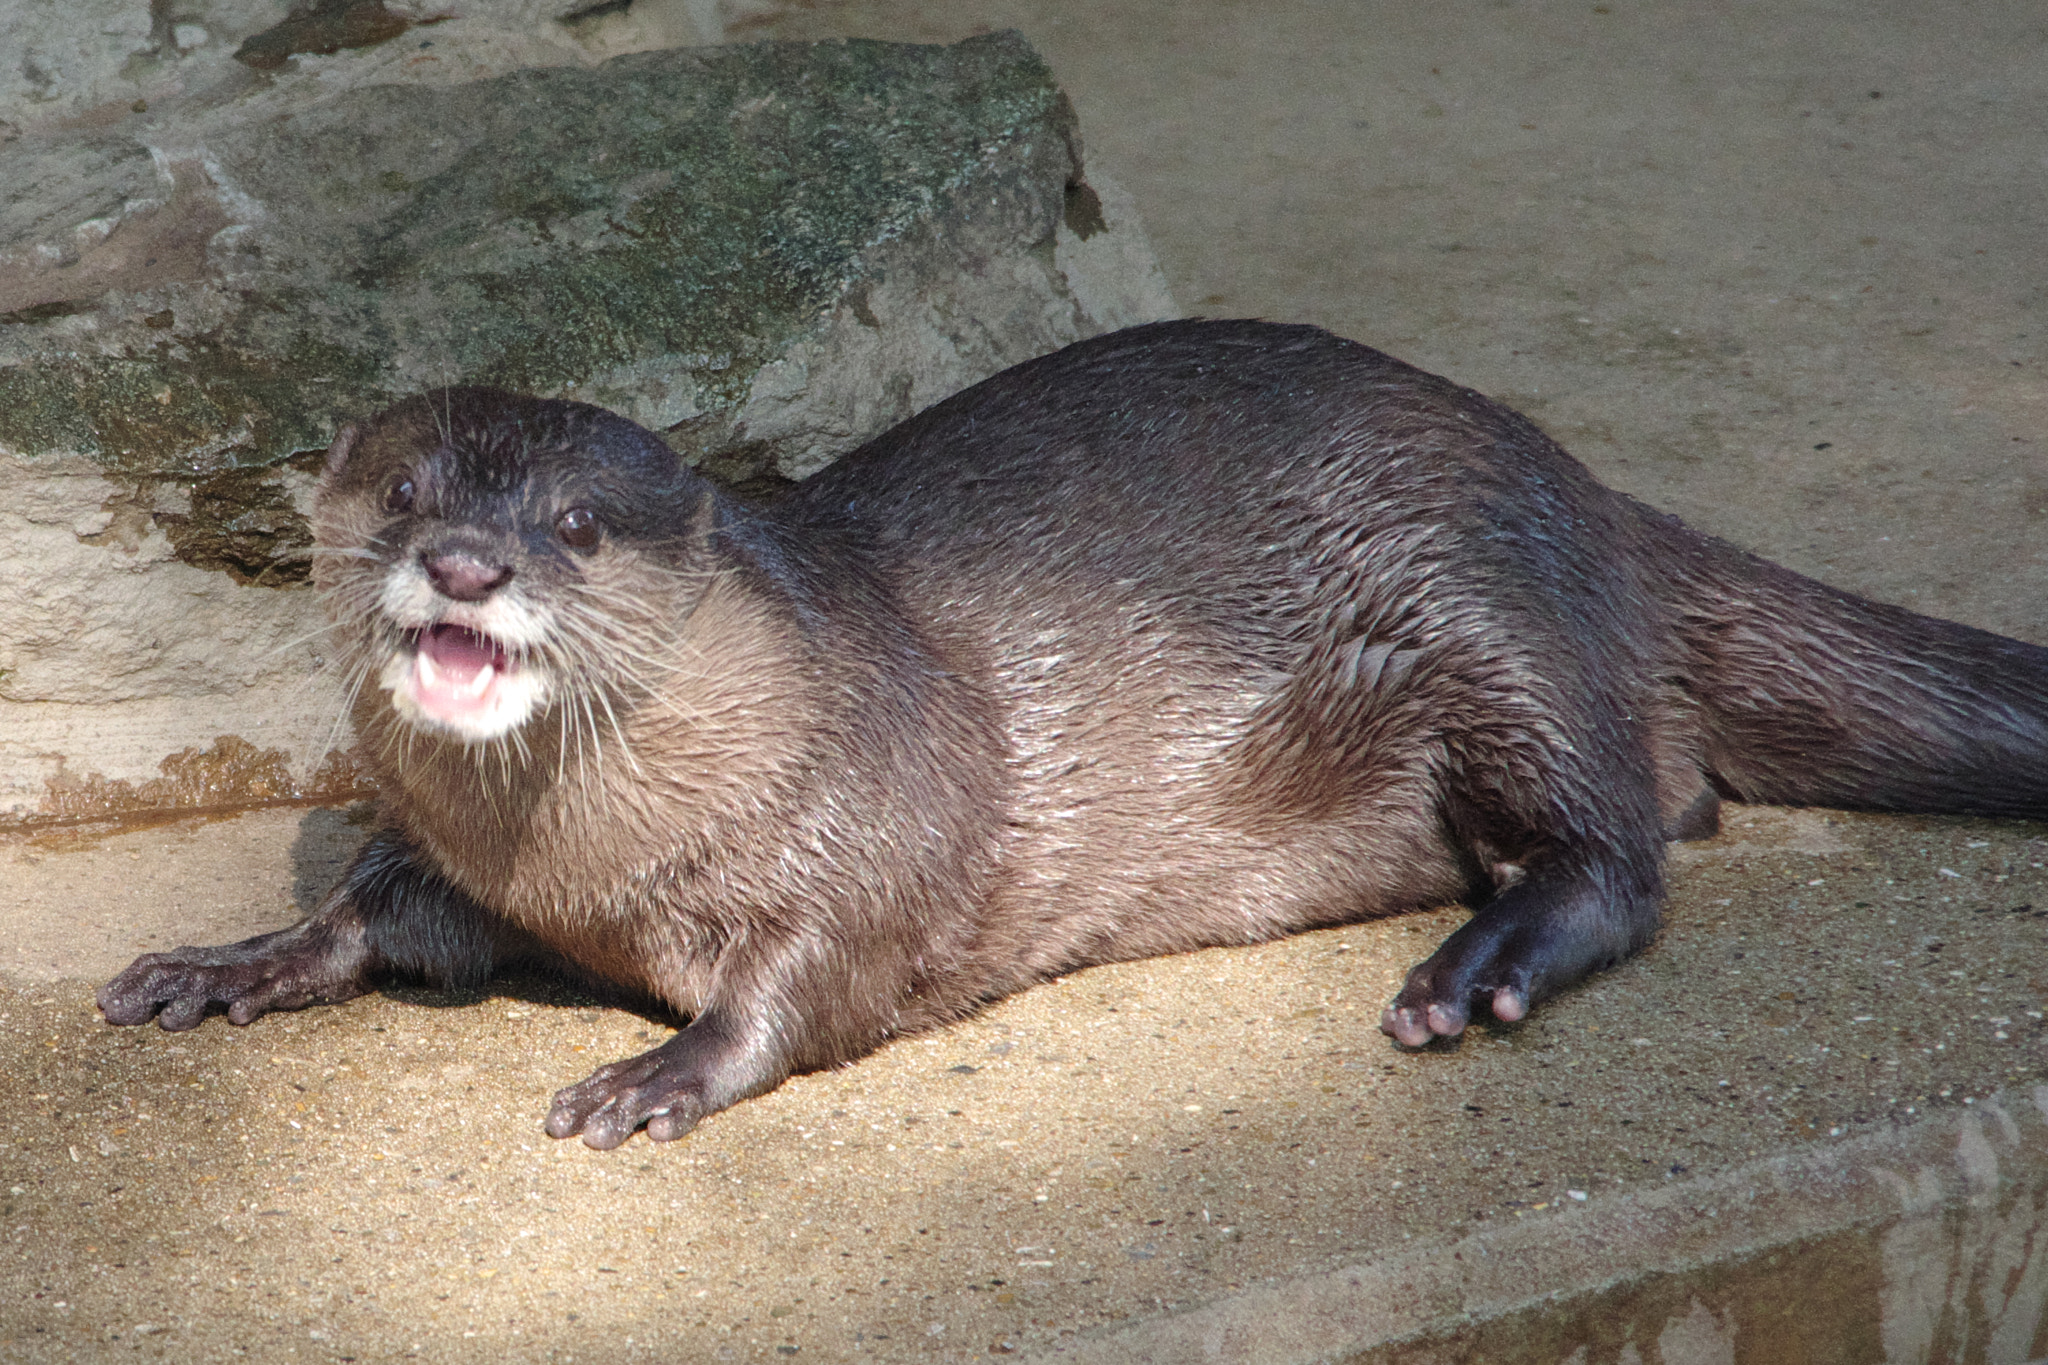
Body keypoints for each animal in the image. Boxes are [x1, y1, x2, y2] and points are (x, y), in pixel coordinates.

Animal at [98, 320, 2048, 1148]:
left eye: (576, 523)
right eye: (405, 488)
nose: (468, 559)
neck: (587, 871)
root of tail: (1583, 488)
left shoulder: (870, 826)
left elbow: (805, 987)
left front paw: (659, 1076)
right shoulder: (456, 865)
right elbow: (371, 910)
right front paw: (221, 958)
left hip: (1488, 611)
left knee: (1627, 847)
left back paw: (1471, 968)